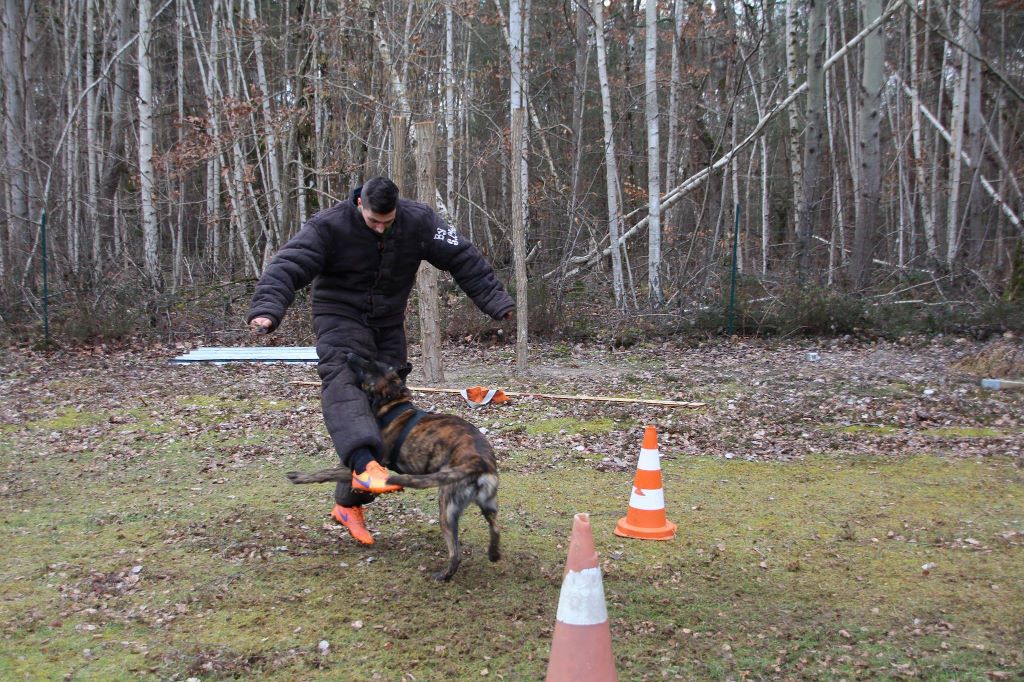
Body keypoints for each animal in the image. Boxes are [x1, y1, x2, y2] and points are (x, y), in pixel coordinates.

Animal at [284, 350, 499, 577]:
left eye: (369, 364)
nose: (349, 353)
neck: (391, 404)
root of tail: (479, 462)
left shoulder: (363, 465)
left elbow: (328, 472)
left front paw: (300, 477)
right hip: (487, 505)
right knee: (495, 527)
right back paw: (493, 553)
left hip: (447, 508)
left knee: (455, 552)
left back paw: (443, 576)